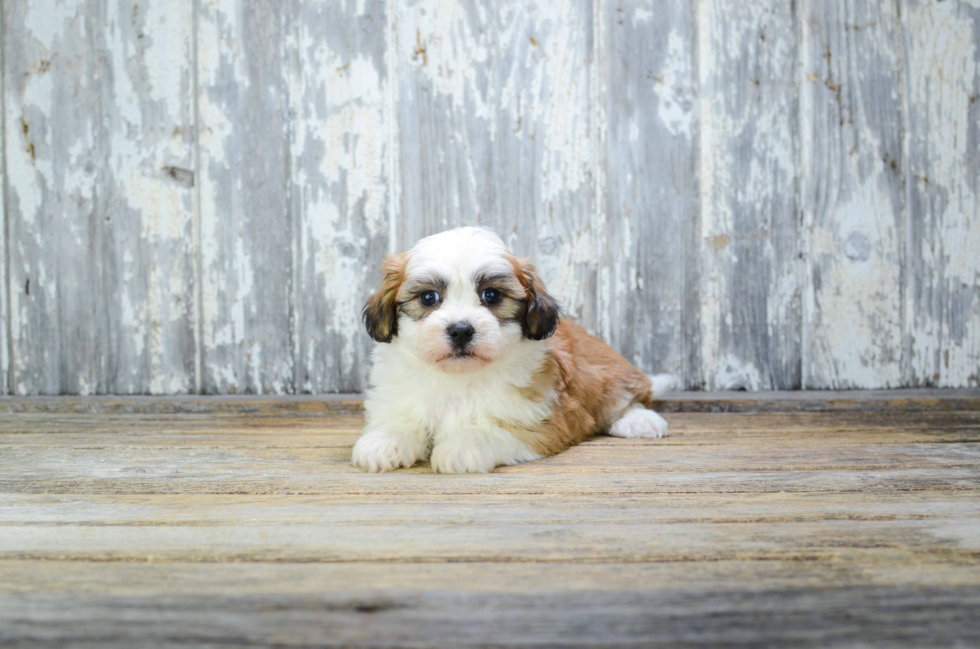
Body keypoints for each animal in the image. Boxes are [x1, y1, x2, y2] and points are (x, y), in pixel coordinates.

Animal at [352, 227, 680, 470]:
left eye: (491, 295)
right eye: (429, 297)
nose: (461, 330)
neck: (459, 378)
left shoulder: (540, 421)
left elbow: (494, 428)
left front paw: (462, 446)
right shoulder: (399, 396)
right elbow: (400, 418)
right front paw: (383, 442)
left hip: (605, 370)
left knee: (627, 394)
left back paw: (639, 419)